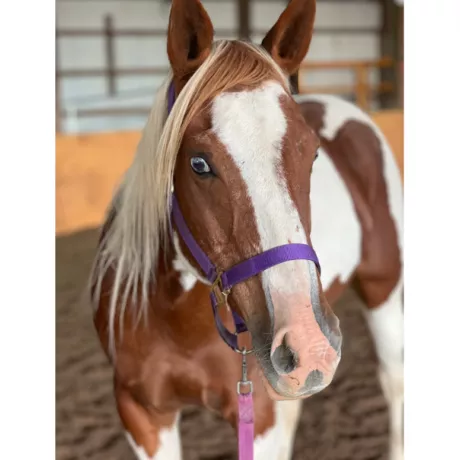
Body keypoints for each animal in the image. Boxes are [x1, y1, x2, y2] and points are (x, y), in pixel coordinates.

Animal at [89, 0, 402, 458]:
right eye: (199, 163)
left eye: (312, 154)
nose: (306, 344)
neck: (177, 318)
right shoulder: (142, 414)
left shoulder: (260, 418)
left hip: (384, 290)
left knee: (393, 382)